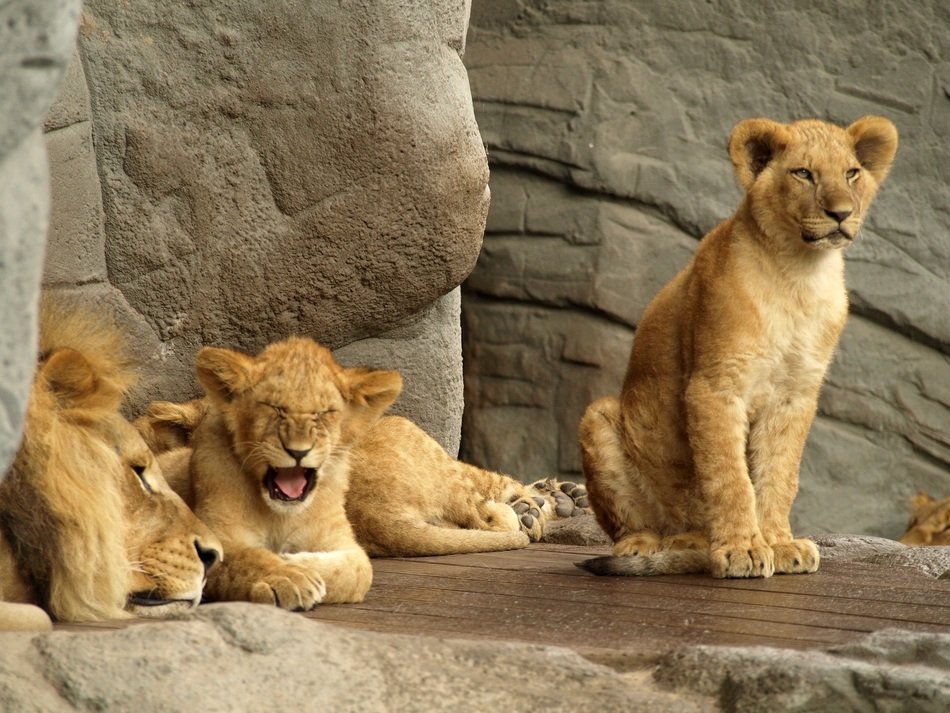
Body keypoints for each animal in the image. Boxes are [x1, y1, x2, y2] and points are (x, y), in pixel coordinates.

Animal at [577, 116, 899, 579]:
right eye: (804, 173)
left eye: (852, 173)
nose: (841, 213)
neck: (800, 276)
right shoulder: (715, 386)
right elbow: (729, 475)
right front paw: (742, 549)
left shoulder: (794, 395)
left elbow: (779, 474)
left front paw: (779, 544)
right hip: (599, 416)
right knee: (633, 525)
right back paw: (652, 547)